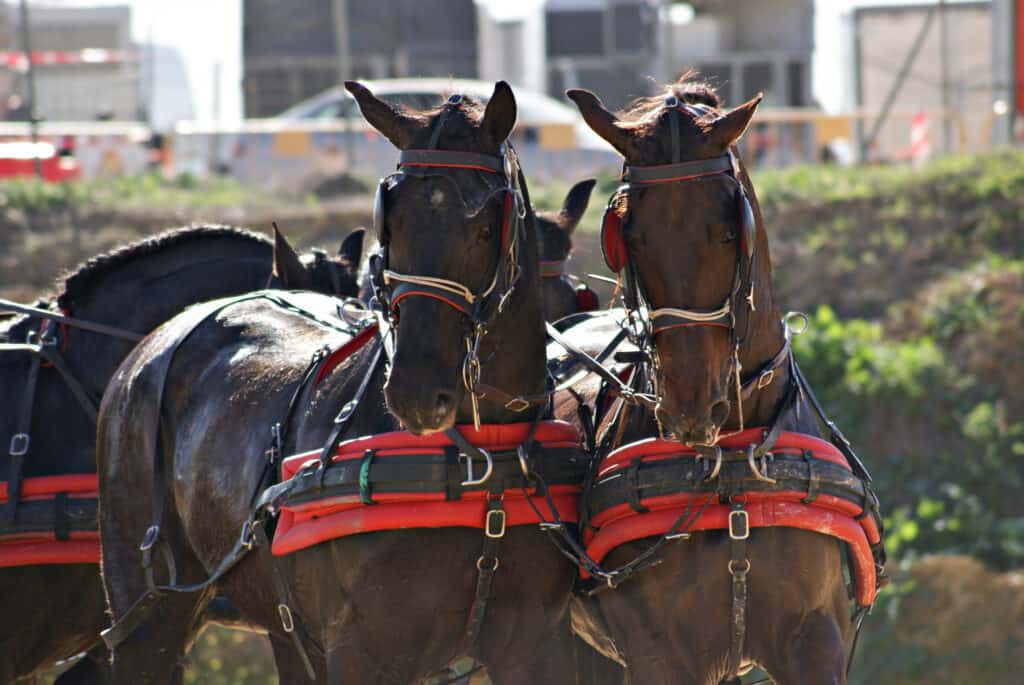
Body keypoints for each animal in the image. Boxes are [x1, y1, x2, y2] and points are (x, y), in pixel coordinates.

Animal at [96, 82, 593, 679]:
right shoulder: (364, 650)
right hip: (149, 610)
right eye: (390, 224)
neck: (482, 456)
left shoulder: (538, 642)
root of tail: (149, 349)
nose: (416, 392)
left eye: (482, 225)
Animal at [552, 80, 888, 683]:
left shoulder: (813, 636)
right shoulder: (660, 654)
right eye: (630, 235)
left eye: (730, 231)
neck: (730, 464)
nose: (690, 408)